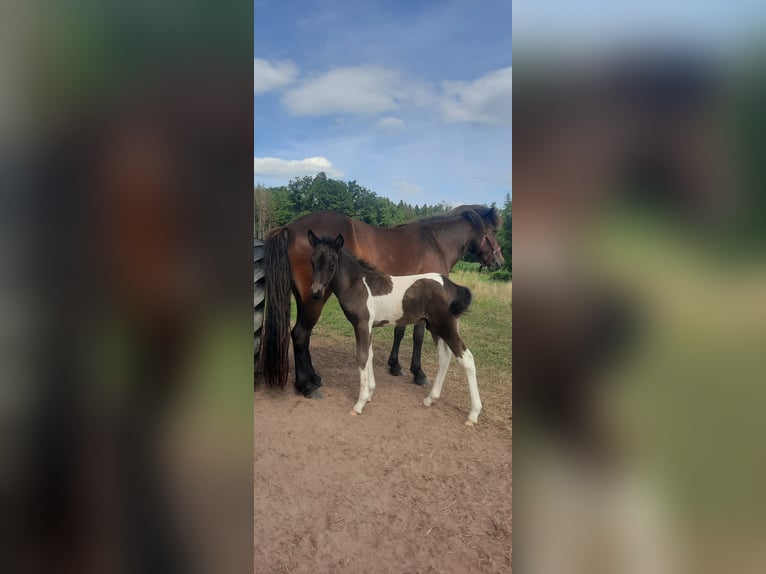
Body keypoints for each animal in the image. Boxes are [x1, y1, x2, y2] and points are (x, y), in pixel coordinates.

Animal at [260, 205, 508, 398]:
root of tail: (290, 228)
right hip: (314, 299)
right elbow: (417, 336)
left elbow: (399, 332)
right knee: (300, 334)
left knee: (303, 335)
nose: (500, 261)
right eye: (493, 231)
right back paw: (307, 386)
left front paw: (395, 365)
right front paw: (418, 373)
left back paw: (314, 378)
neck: (435, 242)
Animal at [308, 231, 484, 428]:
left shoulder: (361, 324)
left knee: (466, 358)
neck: (358, 285)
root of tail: (451, 286)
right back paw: (430, 399)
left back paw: (473, 414)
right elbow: (370, 355)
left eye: (332, 264)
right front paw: (369, 394)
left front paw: (359, 403)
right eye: (312, 262)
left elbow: (362, 357)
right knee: (444, 357)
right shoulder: (368, 326)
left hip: (445, 327)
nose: (315, 293)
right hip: (435, 328)